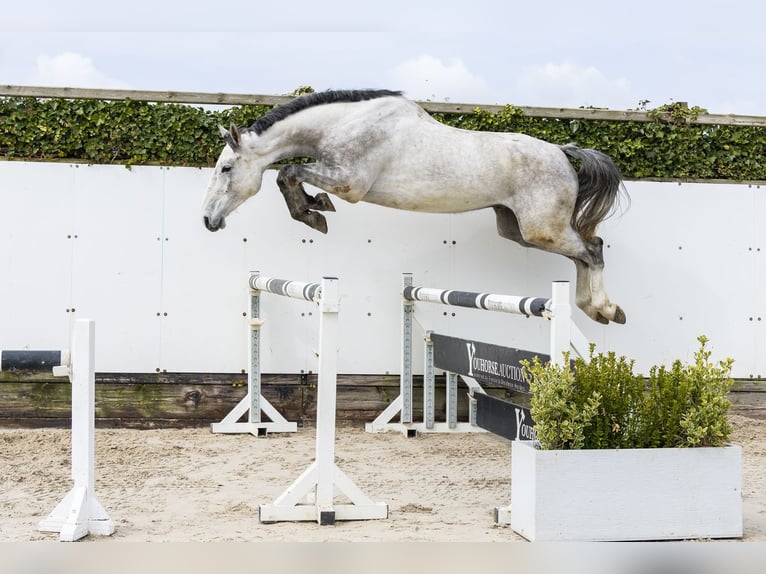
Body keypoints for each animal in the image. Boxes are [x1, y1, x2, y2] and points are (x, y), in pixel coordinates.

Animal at [201, 89, 627, 325]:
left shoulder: (349, 183)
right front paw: (313, 210)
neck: (344, 124)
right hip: (519, 230)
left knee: (593, 249)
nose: (207, 220)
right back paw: (592, 308)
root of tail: (562, 152)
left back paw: (605, 309)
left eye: (226, 168)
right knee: (583, 252)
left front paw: (314, 210)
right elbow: (287, 175)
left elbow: (288, 171)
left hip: (543, 229)